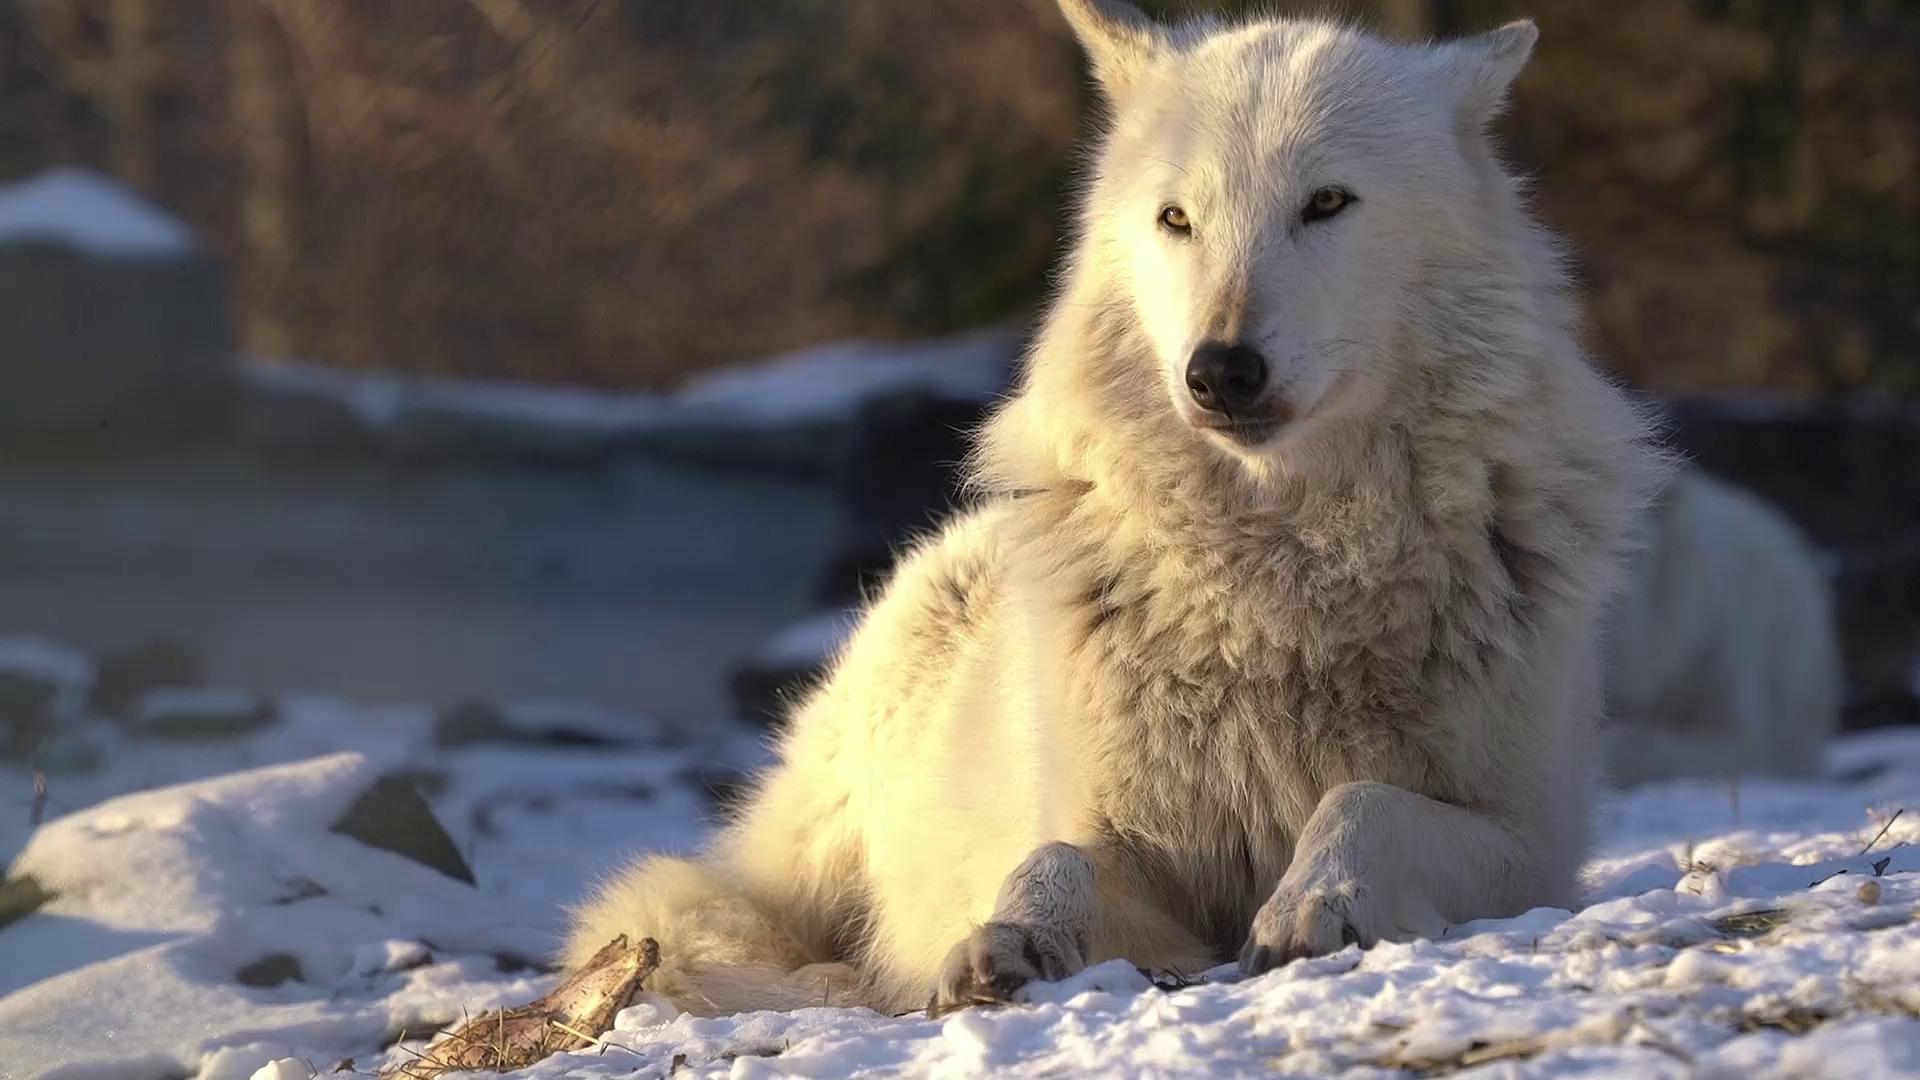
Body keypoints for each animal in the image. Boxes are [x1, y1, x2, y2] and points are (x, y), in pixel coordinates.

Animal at [567, 0, 1665, 1016]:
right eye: (1177, 218)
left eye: (1327, 203)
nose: (1222, 370)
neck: (1276, 585)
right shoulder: (1127, 846)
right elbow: (1056, 857)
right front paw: (1008, 936)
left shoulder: (1532, 840)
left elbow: (1366, 800)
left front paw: (1317, 902)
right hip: (807, 844)